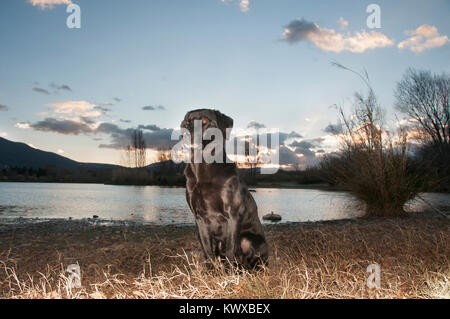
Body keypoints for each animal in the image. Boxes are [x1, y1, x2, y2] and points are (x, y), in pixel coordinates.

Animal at [181, 110, 268, 270]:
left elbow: (230, 250)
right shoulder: (199, 218)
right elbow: (207, 249)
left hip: (249, 240)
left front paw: (229, 273)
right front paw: (211, 272)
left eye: (204, 121)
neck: (203, 167)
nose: (186, 130)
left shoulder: (232, 214)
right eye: (186, 122)